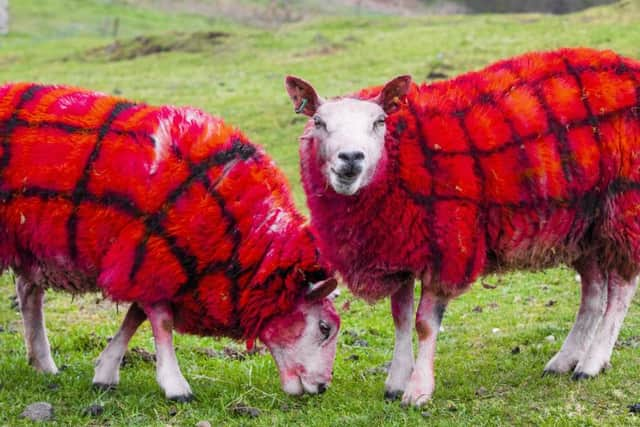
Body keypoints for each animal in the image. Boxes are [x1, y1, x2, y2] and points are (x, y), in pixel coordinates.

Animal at [0, 83, 340, 402]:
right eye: (324, 327)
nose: (322, 387)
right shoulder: (150, 255)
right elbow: (160, 322)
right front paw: (175, 385)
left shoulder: (154, 265)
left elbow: (136, 315)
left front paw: (106, 371)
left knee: (28, 293)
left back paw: (43, 363)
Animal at [288, 47, 640, 408]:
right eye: (318, 122)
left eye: (379, 121)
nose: (351, 157)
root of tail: (627, 63)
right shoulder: (398, 248)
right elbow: (400, 318)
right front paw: (396, 382)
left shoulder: (449, 248)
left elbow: (425, 323)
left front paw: (418, 390)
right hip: (584, 226)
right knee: (594, 291)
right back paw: (566, 359)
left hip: (624, 207)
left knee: (622, 288)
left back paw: (592, 362)